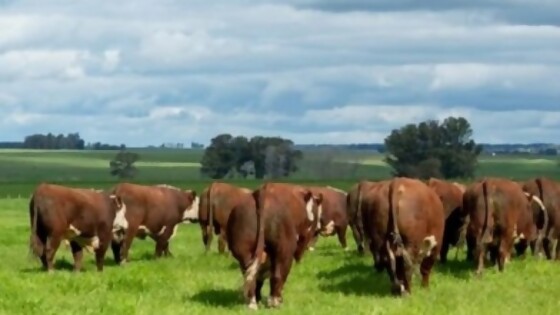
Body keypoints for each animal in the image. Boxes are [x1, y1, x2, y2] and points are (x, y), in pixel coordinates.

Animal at [226, 183, 322, 312]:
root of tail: (261, 193)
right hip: (284, 250)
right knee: (278, 275)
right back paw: (274, 302)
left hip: (244, 251)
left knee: (250, 275)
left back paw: (252, 303)